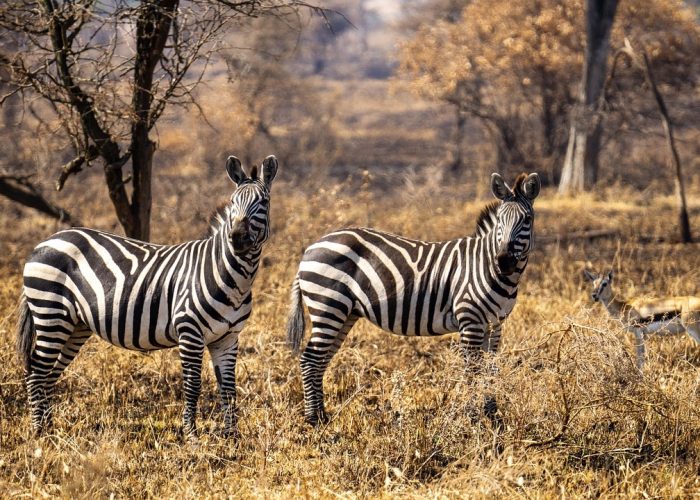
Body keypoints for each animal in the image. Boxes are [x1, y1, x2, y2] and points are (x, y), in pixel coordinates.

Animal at [16, 154, 278, 436]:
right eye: (232, 202)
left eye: (263, 202)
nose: (237, 238)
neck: (232, 278)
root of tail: (45, 241)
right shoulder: (190, 332)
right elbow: (193, 386)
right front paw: (191, 435)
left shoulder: (228, 338)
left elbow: (228, 389)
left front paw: (232, 437)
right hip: (50, 313)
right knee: (36, 372)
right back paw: (38, 432)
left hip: (74, 326)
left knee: (49, 374)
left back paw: (50, 428)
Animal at [288, 173, 540, 426]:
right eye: (500, 221)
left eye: (527, 219)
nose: (504, 261)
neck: (488, 266)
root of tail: (312, 247)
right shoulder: (470, 320)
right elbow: (472, 371)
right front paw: (473, 417)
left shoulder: (494, 324)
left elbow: (490, 369)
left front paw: (492, 415)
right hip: (328, 305)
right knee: (310, 359)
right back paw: (313, 419)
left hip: (344, 312)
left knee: (321, 360)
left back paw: (323, 416)